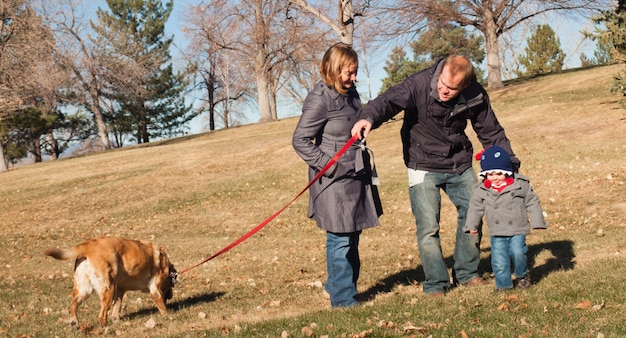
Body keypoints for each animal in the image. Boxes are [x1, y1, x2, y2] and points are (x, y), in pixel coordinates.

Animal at [44, 236, 177, 326]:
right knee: (102, 315)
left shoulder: (121, 289)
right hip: (108, 289)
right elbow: (161, 305)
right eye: (170, 287)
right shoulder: (155, 290)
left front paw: (116, 319)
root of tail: (87, 246)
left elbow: (117, 306)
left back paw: (74, 323)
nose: (170, 296)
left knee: (72, 305)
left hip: (84, 291)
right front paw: (168, 315)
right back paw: (104, 327)